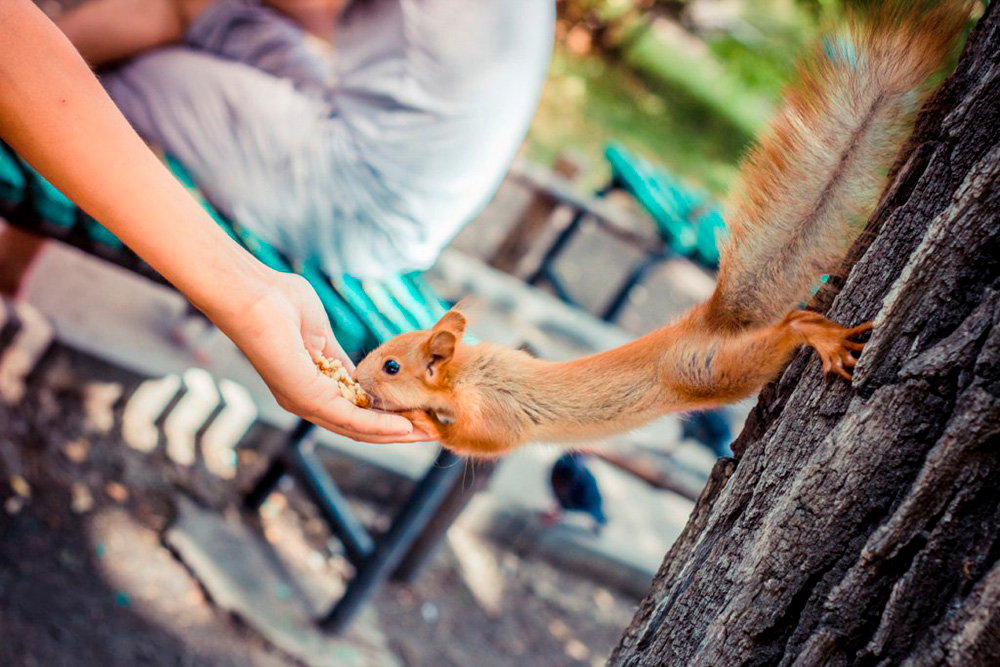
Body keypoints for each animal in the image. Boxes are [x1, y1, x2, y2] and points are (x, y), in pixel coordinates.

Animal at [352, 0, 968, 456]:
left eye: (390, 365)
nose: (357, 382)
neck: (469, 374)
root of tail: (707, 323)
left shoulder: (497, 415)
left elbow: (476, 440)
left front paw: (425, 422)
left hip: (712, 371)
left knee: (782, 334)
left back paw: (817, 336)